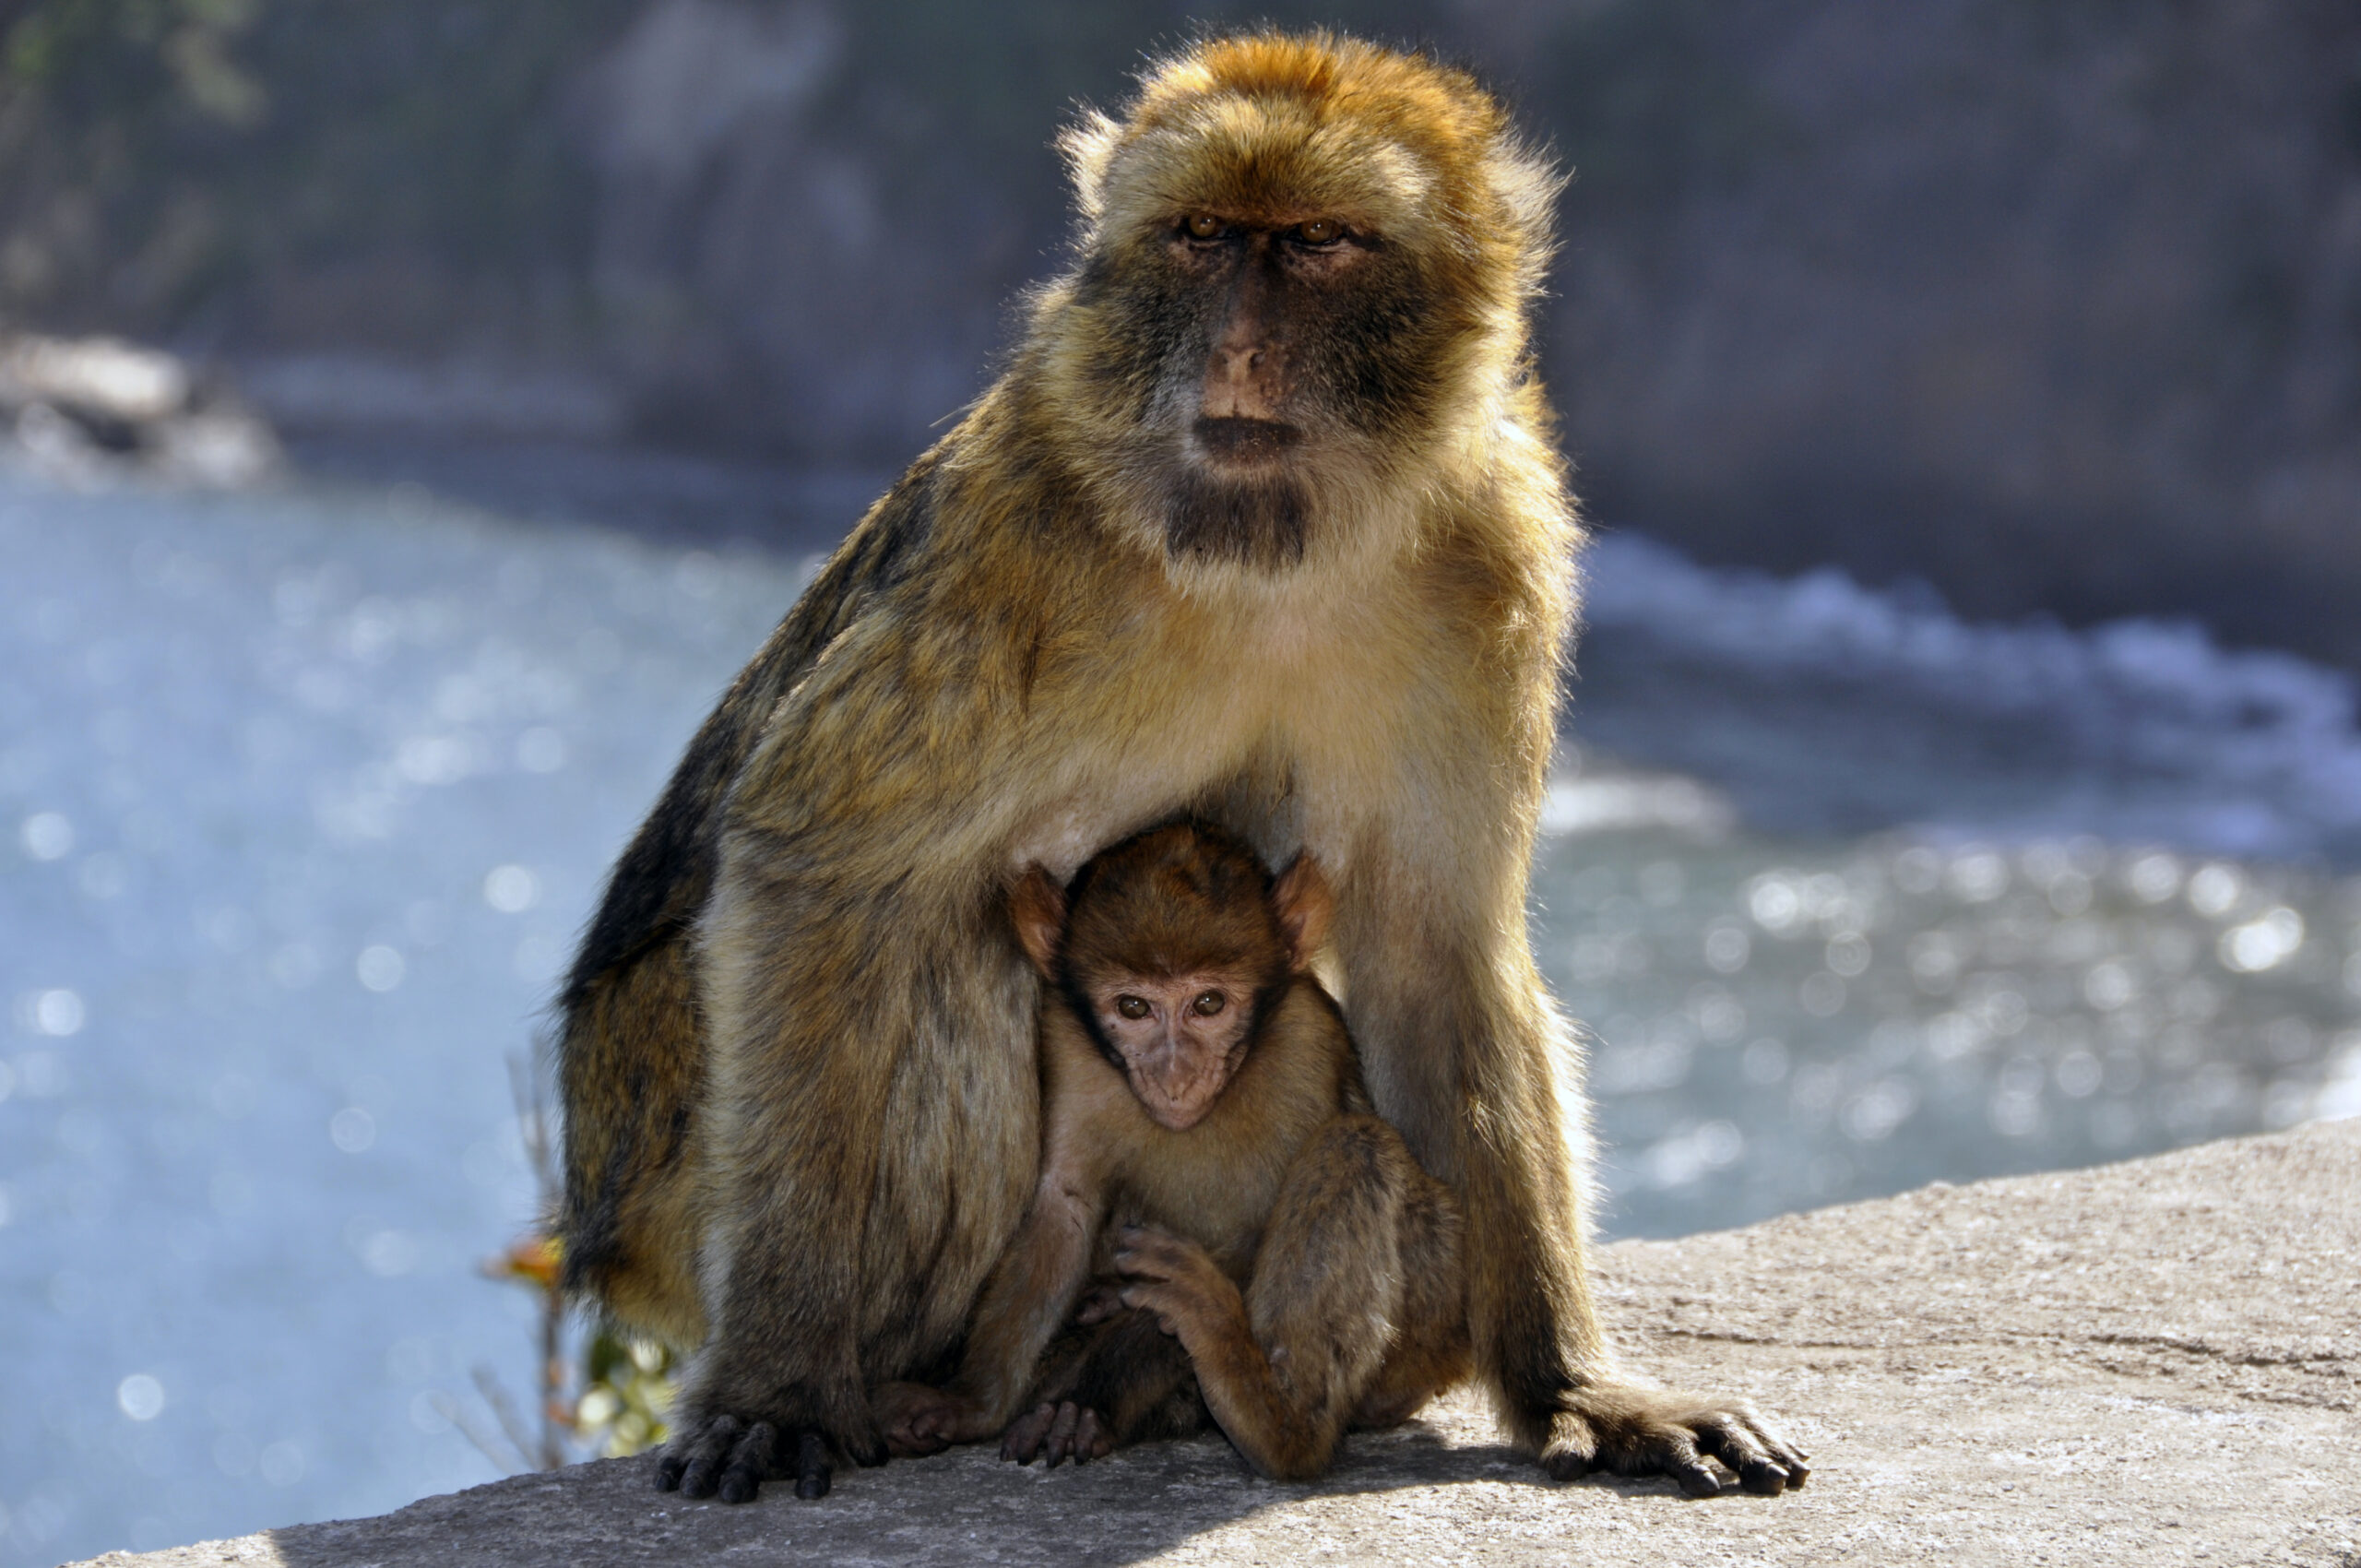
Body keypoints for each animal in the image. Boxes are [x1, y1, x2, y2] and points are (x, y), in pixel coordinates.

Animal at [873, 821, 1474, 1480]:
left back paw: (1273, 1419)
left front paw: (1092, 1392)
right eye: (1133, 1007)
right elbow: (1063, 1208)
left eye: (1208, 1004)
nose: (1175, 1075)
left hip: (1430, 1324)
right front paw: (971, 1405)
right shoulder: (1066, 1043)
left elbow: (1255, 1230)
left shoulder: (1306, 1043)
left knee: (1355, 1144)